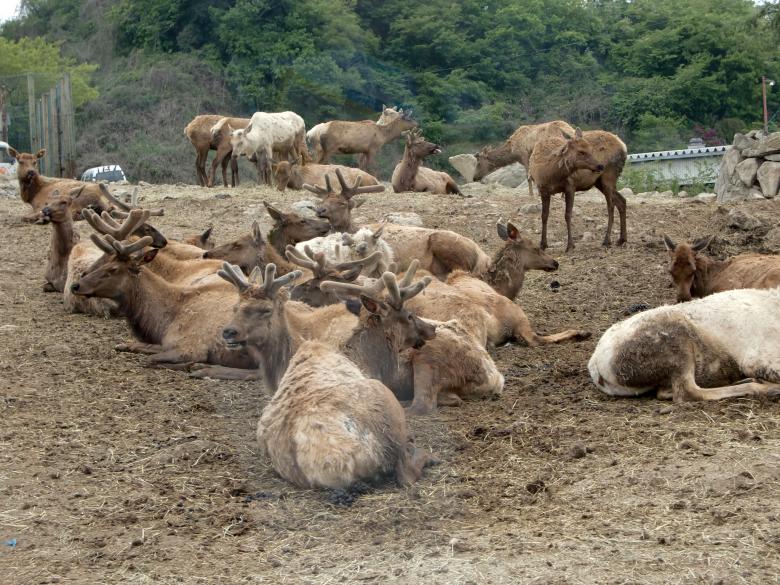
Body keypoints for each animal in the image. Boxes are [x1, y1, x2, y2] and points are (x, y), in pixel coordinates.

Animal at [588, 287, 780, 402]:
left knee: (666, 391)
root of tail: (596, 364)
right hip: (676, 345)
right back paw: (763, 387)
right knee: (686, 392)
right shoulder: (757, 357)